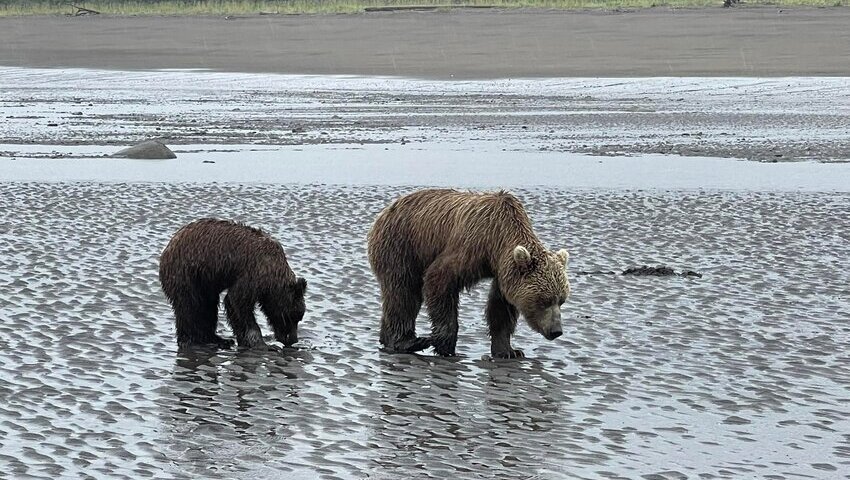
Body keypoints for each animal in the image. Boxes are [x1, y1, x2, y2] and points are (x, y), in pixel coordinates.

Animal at [157, 219, 306, 350]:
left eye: (299, 317)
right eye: (292, 317)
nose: (293, 340)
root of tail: (167, 248)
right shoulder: (254, 272)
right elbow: (237, 301)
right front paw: (263, 344)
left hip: (204, 282)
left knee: (208, 307)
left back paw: (217, 339)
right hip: (187, 272)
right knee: (190, 306)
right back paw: (194, 341)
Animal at [364, 189, 568, 358]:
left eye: (562, 300)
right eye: (543, 301)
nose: (556, 331)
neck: (497, 240)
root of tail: (384, 212)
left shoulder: (503, 273)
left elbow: (501, 309)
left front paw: (509, 351)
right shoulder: (470, 246)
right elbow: (439, 280)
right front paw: (444, 345)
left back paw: (386, 338)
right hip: (401, 247)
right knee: (403, 293)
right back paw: (408, 341)